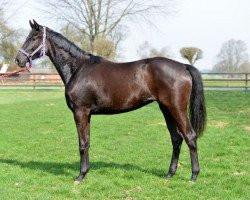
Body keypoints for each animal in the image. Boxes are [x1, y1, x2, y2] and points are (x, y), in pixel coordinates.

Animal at [16, 20, 207, 183]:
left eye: (33, 38)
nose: (18, 59)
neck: (78, 68)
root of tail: (183, 66)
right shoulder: (87, 114)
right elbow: (87, 141)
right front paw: (86, 172)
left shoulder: (80, 112)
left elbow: (82, 143)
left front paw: (80, 176)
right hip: (165, 108)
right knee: (176, 138)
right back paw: (169, 174)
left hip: (176, 108)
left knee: (190, 136)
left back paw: (194, 176)